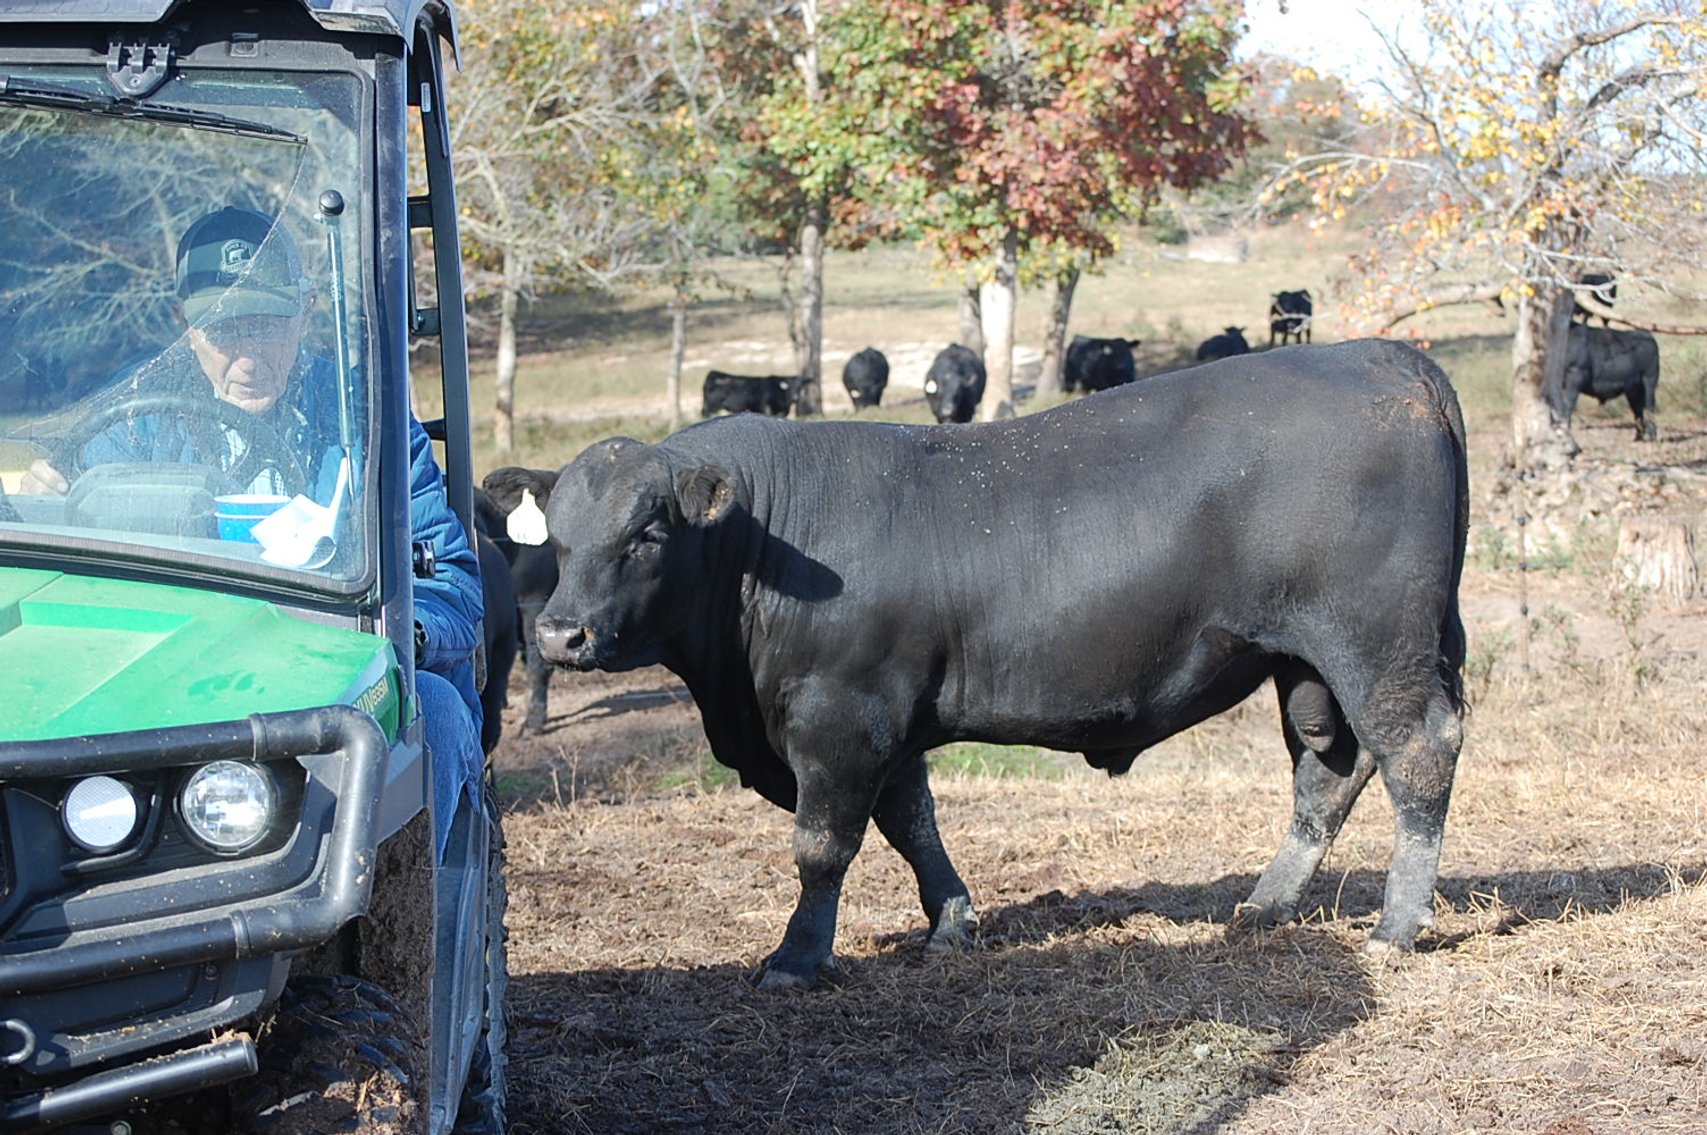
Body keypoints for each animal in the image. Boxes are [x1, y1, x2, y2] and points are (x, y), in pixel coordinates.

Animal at [484, 338, 1470, 991]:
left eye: (647, 534)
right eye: (556, 535)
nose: (561, 635)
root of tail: (1386, 358)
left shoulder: (839, 718)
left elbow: (823, 845)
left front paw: (796, 958)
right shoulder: (886, 718)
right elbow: (911, 821)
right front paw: (953, 921)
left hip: (1375, 643)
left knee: (1417, 753)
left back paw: (1395, 925)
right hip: (1302, 664)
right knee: (1327, 771)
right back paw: (1264, 906)